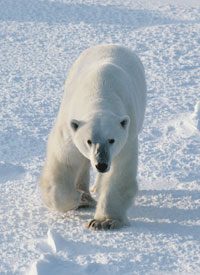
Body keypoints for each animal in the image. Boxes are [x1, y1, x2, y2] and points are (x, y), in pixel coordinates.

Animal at [40, 45, 147, 231]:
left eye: (112, 140)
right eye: (88, 140)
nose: (101, 164)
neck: (100, 94)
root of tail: (112, 44)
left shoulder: (127, 138)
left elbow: (120, 173)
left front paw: (103, 221)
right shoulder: (70, 129)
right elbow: (64, 162)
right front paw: (80, 199)